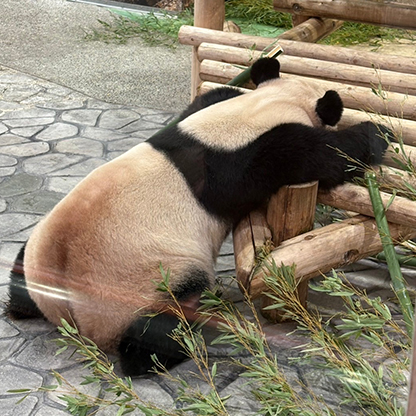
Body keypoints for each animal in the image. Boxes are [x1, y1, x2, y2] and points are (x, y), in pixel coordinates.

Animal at [5, 57, 390, 376]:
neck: (250, 113)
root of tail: (66, 313)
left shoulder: (210, 107)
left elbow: (210, 94)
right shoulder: (258, 155)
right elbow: (323, 156)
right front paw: (378, 134)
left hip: (39, 245)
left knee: (19, 273)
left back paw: (19, 303)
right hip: (144, 285)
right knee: (154, 331)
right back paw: (182, 341)